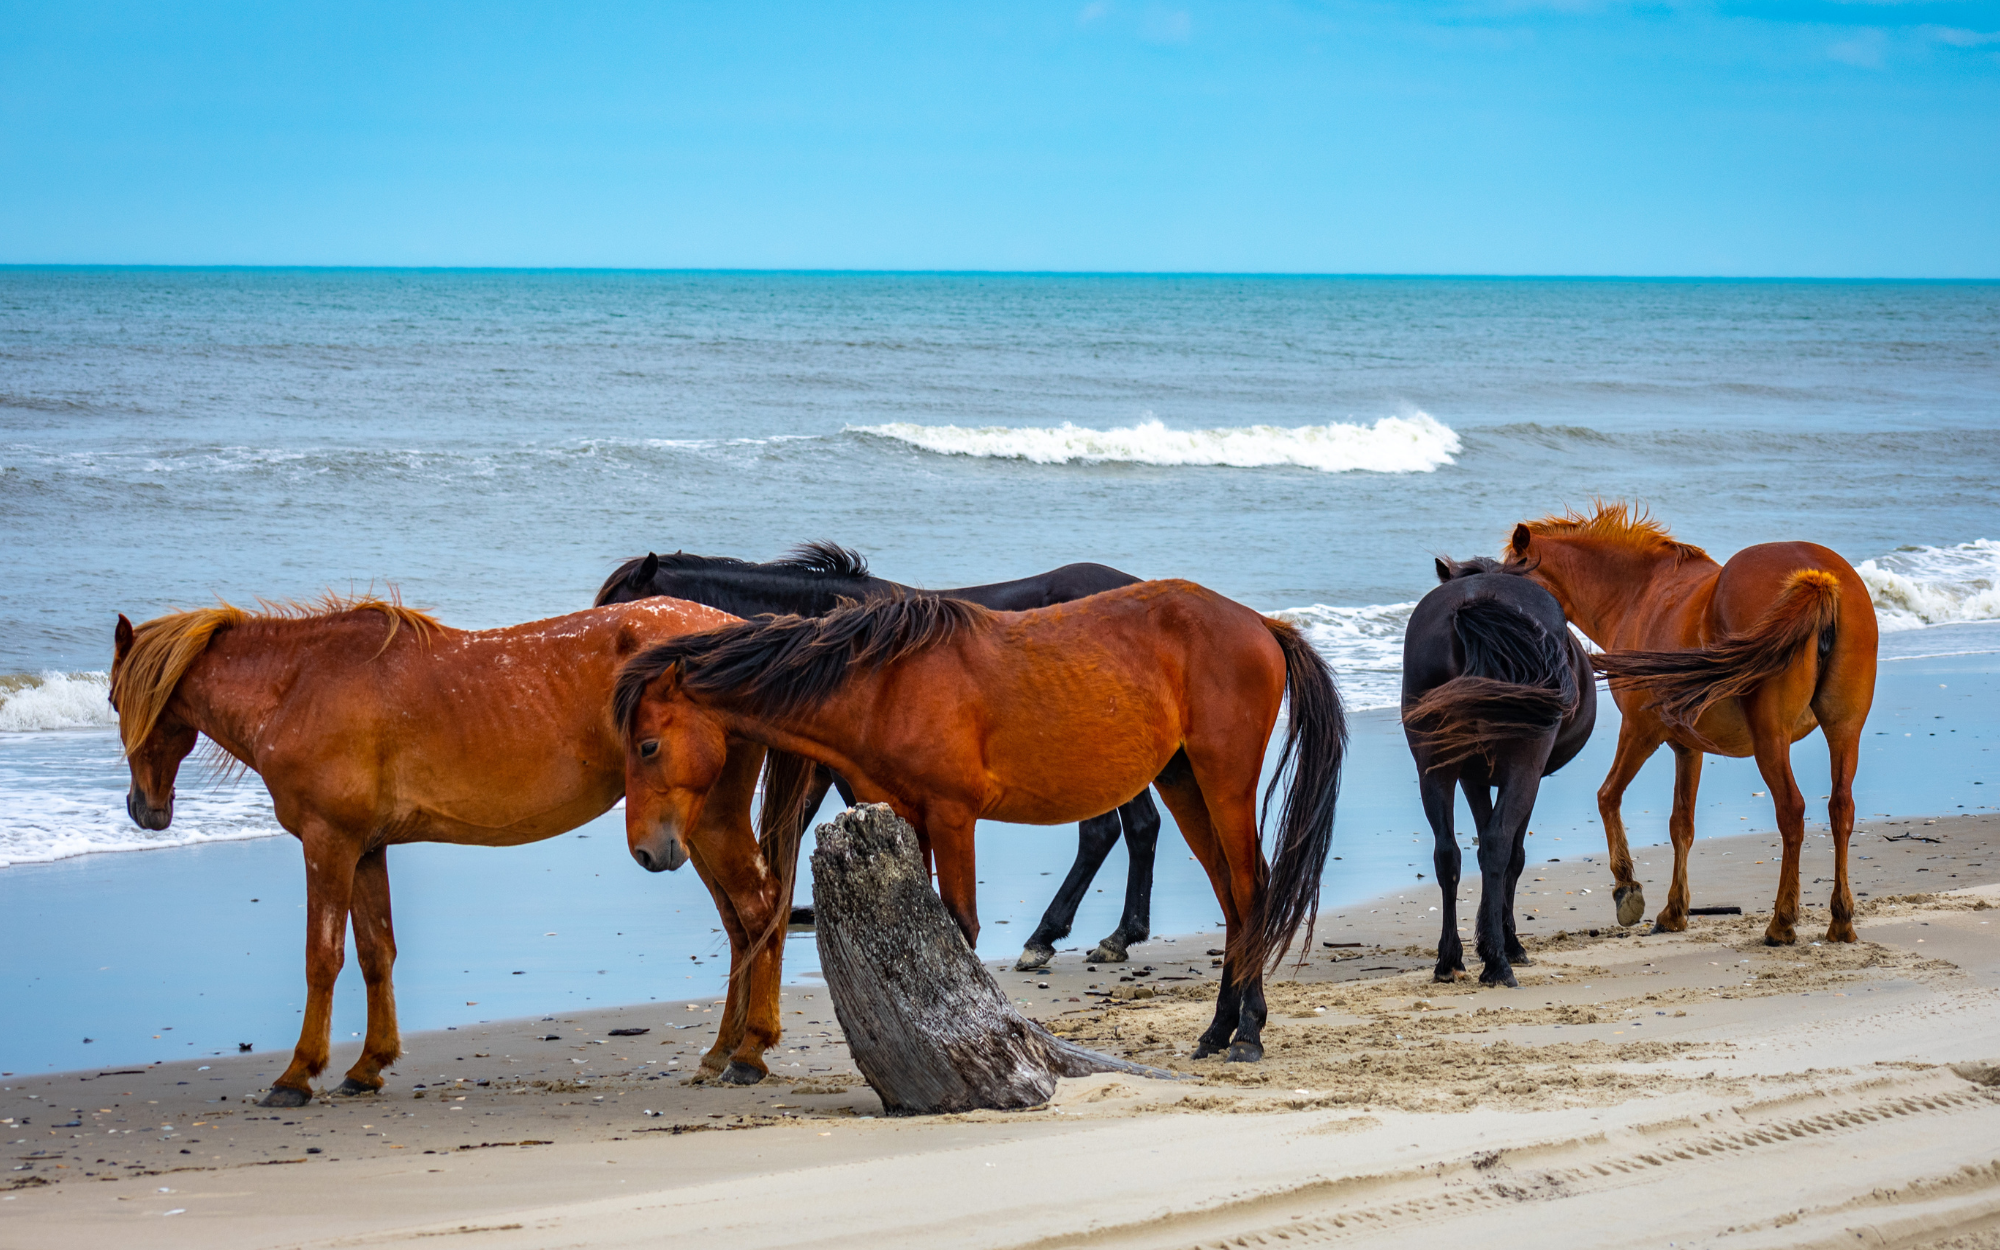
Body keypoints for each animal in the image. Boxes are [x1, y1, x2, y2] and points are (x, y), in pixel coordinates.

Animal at [109, 593, 792, 1105]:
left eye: (115, 700)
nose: (145, 810)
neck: (300, 684)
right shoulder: (365, 849)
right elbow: (376, 952)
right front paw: (368, 1065)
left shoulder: (328, 843)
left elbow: (322, 958)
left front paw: (298, 1074)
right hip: (688, 833)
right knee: (741, 924)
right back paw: (721, 1051)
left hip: (708, 825)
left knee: (760, 910)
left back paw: (751, 1051)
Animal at [612, 580, 1346, 1064]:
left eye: (647, 745)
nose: (648, 850)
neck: (883, 682)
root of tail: (1260, 624)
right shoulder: (910, 817)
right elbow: (925, 926)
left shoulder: (953, 815)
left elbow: (958, 926)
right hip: (1183, 781)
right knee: (1232, 899)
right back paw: (1219, 1030)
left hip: (1224, 782)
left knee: (1252, 890)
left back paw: (1247, 1034)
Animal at [1401, 555, 1596, 987]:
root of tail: (1472, 605)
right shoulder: (1528, 775)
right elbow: (1514, 854)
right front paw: (1509, 943)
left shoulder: (1472, 777)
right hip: (1524, 762)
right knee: (1496, 845)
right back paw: (1497, 962)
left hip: (1433, 767)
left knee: (1447, 853)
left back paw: (1449, 959)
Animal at [1508, 504, 1878, 945]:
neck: (1639, 593)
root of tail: (1817, 579)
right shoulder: (1688, 746)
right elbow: (1680, 824)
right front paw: (1674, 910)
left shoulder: (1639, 731)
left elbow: (1607, 797)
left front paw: (1627, 889)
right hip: (1845, 729)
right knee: (1841, 809)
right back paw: (1840, 920)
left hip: (1771, 739)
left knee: (1792, 811)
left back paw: (1782, 922)